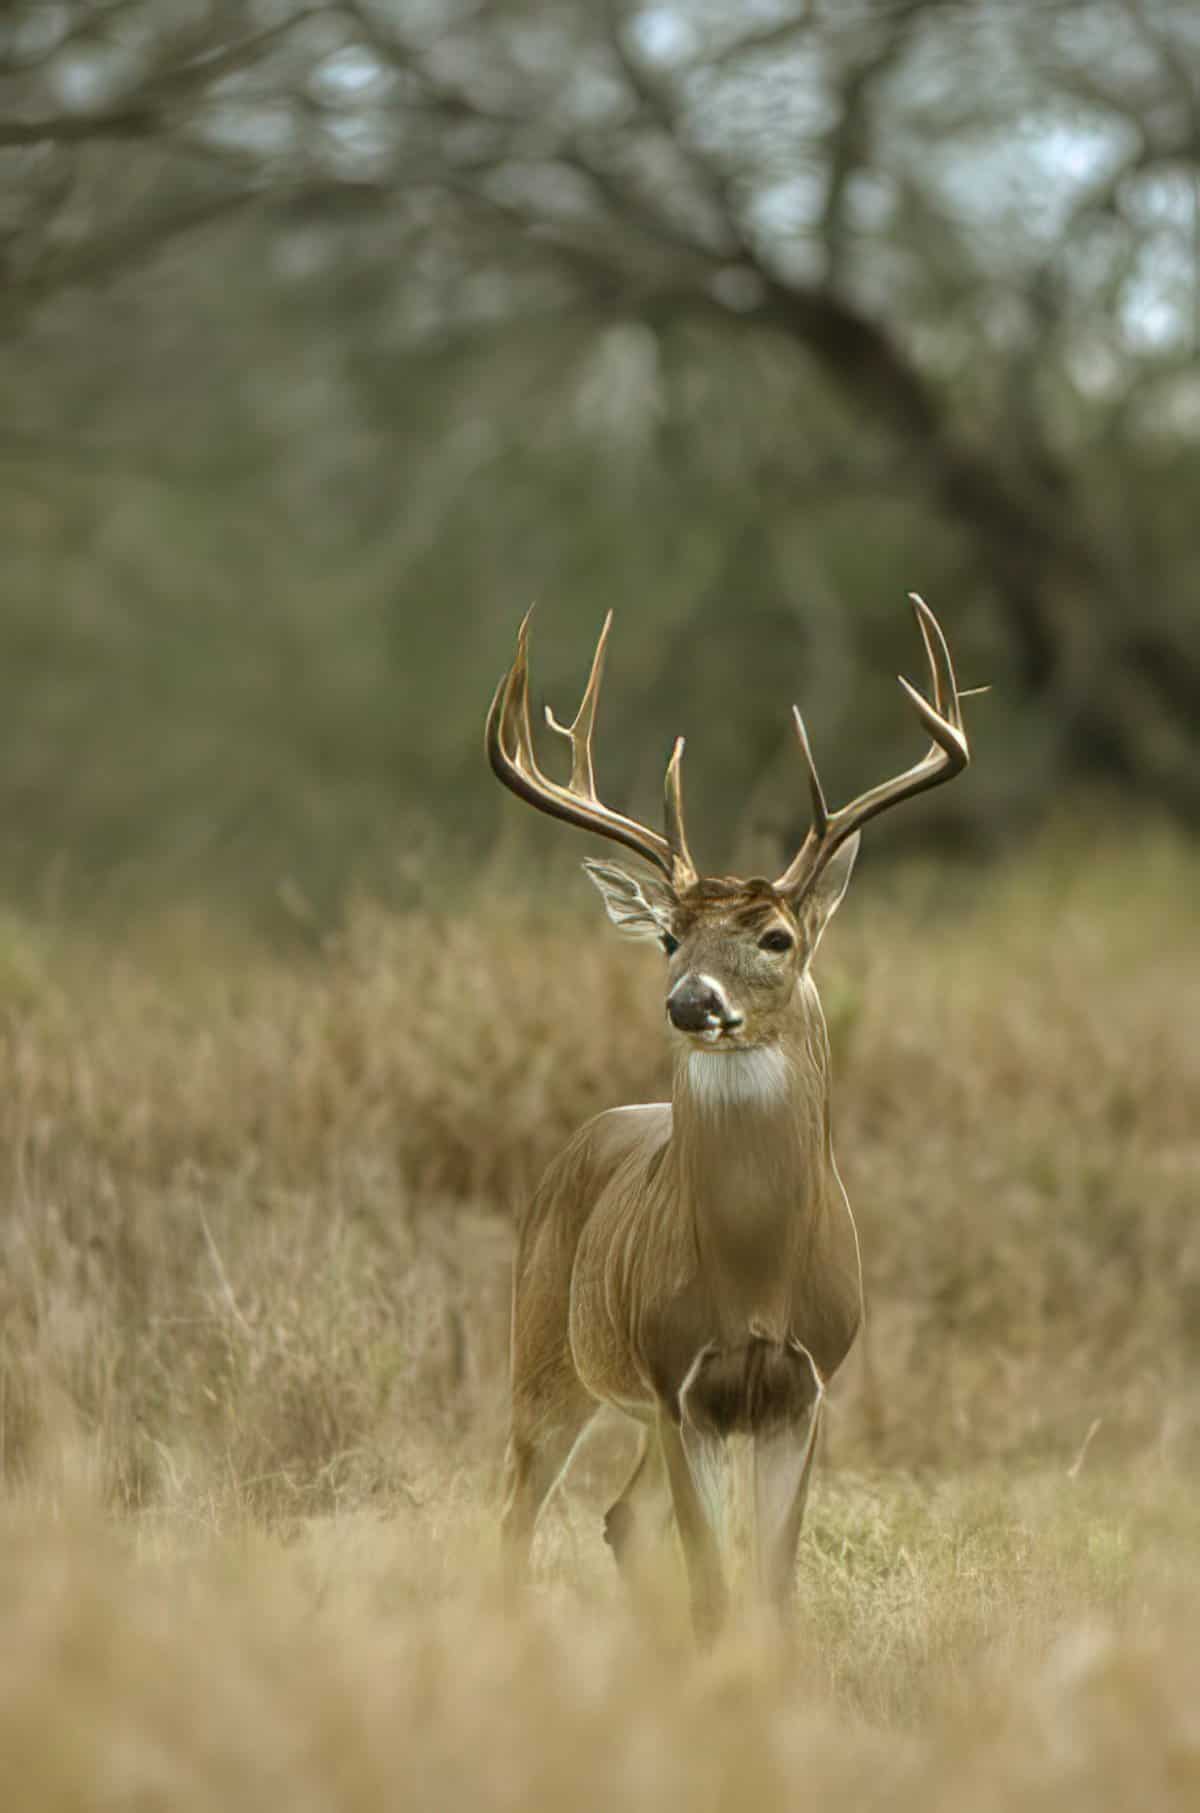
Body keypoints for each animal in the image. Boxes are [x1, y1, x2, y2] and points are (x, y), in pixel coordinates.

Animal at [485, 596, 969, 1639]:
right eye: (670, 936)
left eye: (776, 936)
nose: (690, 1002)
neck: (754, 1280)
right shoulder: (679, 1383)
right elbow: (713, 1585)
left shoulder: (804, 1387)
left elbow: (773, 1585)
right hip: (544, 1349)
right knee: (516, 1513)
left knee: (620, 1516)